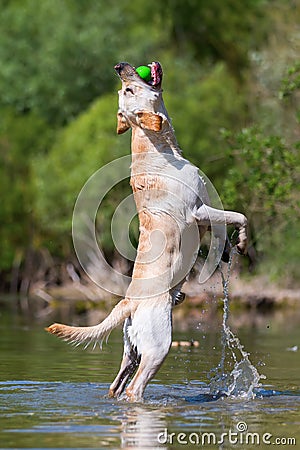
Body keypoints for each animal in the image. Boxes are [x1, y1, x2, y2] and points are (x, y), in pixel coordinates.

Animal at [46, 60, 246, 400]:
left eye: (124, 90)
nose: (119, 66)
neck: (160, 148)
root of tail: (128, 302)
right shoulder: (198, 211)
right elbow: (237, 216)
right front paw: (242, 242)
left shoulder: (203, 217)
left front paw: (227, 253)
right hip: (157, 347)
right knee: (134, 388)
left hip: (132, 349)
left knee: (116, 385)